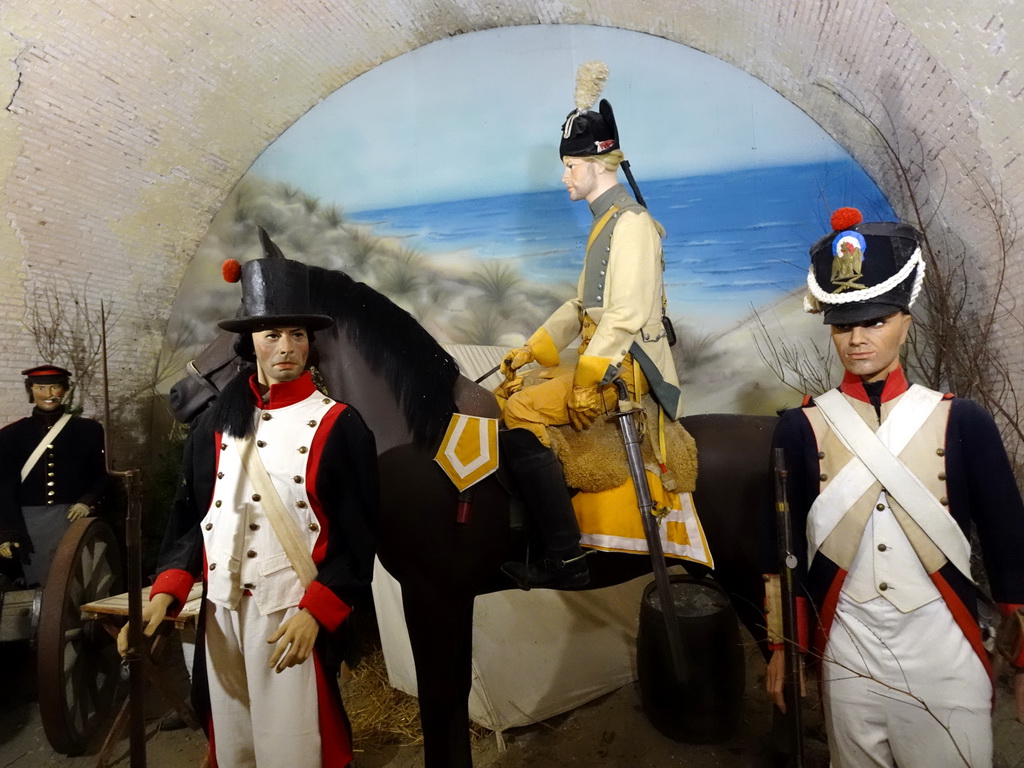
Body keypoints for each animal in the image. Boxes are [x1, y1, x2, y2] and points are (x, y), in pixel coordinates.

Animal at [167, 266, 774, 768]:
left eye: (247, 333)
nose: (177, 392)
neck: (419, 442)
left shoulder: (433, 597)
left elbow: (440, 697)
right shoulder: (445, 599)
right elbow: (450, 694)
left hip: (747, 579)